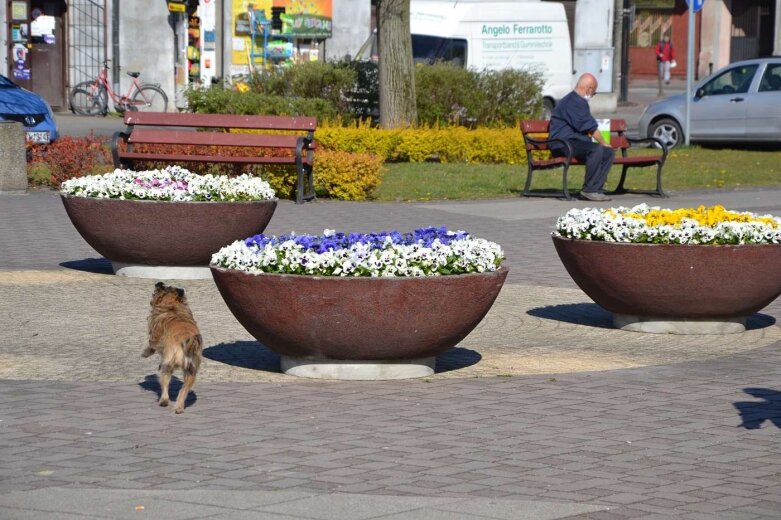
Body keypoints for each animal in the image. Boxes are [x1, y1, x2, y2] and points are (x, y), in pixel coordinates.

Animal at [143, 282, 203, 412]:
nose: (159, 283)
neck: (173, 307)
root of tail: (186, 341)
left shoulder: (154, 337)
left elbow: (150, 345)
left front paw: (145, 352)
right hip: (191, 371)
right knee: (184, 389)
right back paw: (179, 407)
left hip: (168, 364)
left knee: (165, 384)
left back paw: (164, 401)